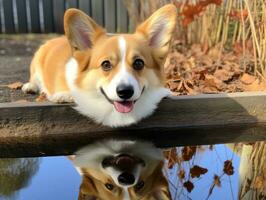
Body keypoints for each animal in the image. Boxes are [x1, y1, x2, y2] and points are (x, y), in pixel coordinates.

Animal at [22, 4, 177, 126]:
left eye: (139, 63)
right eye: (106, 64)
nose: (125, 92)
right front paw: (64, 95)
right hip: (36, 62)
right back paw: (30, 86)